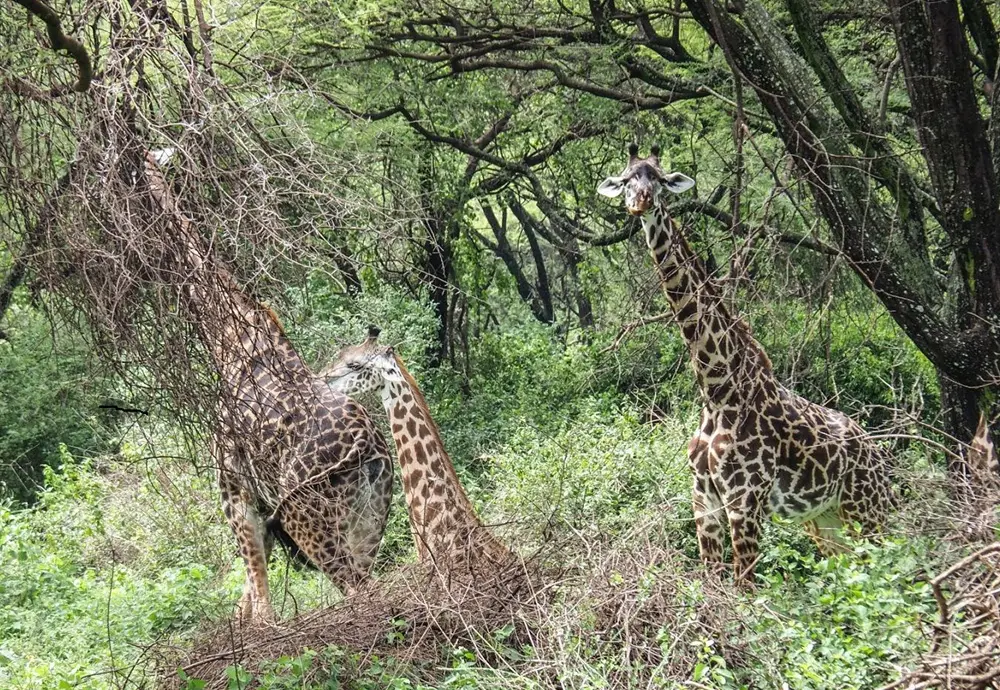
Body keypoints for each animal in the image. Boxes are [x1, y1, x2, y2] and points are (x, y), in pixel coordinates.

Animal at [142, 151, 393, 623]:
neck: (227, 334)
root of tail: (367, 444)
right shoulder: (262, 503)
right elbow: (245, 598)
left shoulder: (234, 489)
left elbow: (259, 601)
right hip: (371, 514)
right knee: (370, 577)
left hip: (308, 517)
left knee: (358, 588)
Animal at [598, 144, 897, 580]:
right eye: (624, 180)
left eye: (659, 179)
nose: (641, 202)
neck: (717, 388)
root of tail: (877, 452)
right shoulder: (703, 499)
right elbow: (711, 583)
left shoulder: (744, 500)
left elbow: (745, 587)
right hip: (826, 520)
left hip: (867, 509)